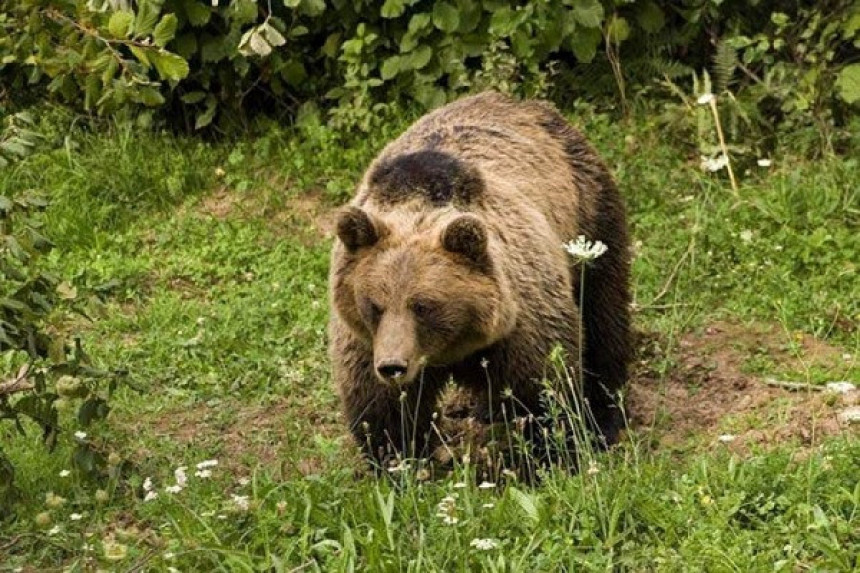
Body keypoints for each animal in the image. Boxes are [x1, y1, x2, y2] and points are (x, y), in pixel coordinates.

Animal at [330, 91, 632, 466]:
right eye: (374, 305)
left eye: (423, 305)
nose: (393, 366)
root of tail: (521, 102)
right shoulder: (365, 339)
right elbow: (382, 411)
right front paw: (402, 460)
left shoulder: (522, 319)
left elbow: (542, 389)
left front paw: (550, 453)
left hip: (588, 212)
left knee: (603, 312)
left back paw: (605, 414)